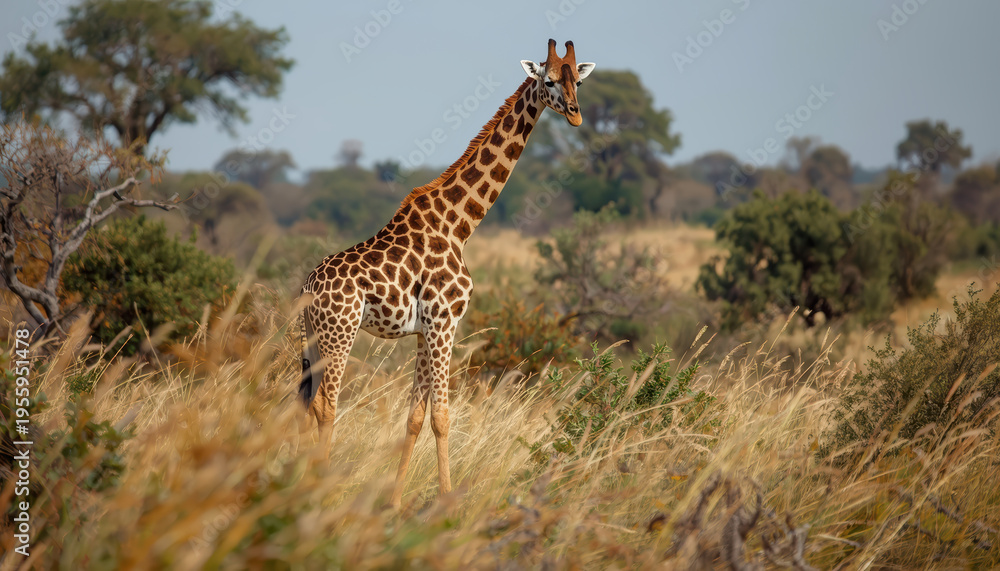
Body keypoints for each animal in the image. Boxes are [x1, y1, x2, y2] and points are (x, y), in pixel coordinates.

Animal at [299, 39, 595, 508]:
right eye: (548, 79)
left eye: (577, 81)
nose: (574, 113)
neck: (460, 224)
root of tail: (307, 286)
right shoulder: (445, 322)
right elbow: (442, 415)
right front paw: (446, 502)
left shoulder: (424, 330)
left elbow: (415, 416)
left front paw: (396, 503)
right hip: (339, 332)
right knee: (326, 405)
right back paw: (318, 496)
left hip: (313, 335)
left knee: (306, 403)